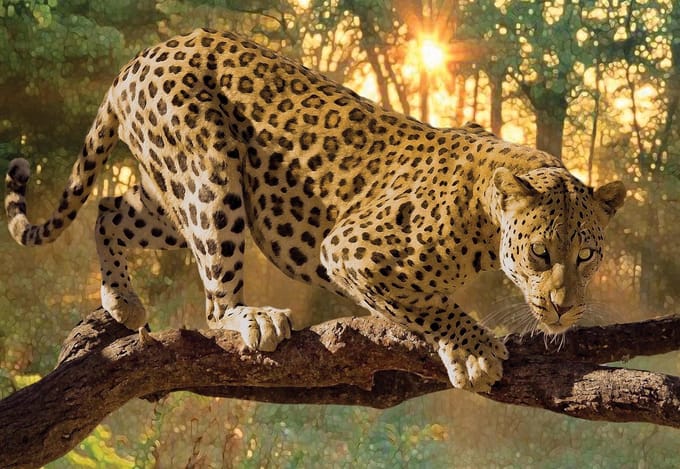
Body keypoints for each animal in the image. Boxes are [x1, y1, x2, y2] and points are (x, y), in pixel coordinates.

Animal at [4, 28, 626, 392]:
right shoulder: (351, 248)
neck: (486, 215)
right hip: (211, 173)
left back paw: (121, 301)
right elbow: (432, 304)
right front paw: (472, 352)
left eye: (588, 257)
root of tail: (140, 56)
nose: (565, 308)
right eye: (541, 253)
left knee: (109, 208)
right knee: (213, 300)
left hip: (172, 191)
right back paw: (251, 317)